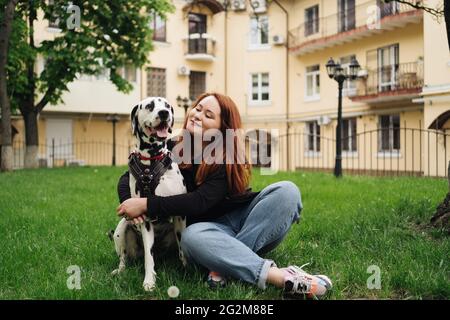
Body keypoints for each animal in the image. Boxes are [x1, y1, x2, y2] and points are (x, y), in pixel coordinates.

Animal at [111, 96, 187, 292]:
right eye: (149, 106)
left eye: (167, 106)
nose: (164, 113)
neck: (151, 162)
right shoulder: (144, 219)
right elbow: (148, 257)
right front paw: (149, 282)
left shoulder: (180, 215)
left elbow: (183, 248)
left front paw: (187, 269)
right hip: (121, 229)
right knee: (123, 258)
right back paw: (119, 271)